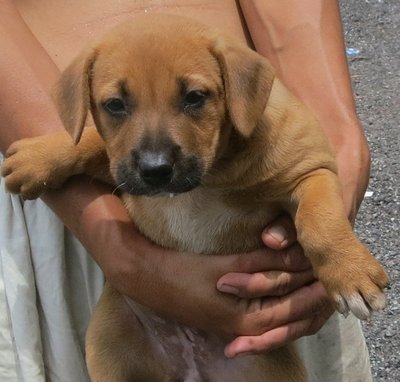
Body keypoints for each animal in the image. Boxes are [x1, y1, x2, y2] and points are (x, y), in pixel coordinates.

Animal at [0, 13, 388, 380]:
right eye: (115, 105)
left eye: (195, 98)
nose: (155, 170)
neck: (212, 173)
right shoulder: (118, 166)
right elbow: (91, 139)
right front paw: (39, 158)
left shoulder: (312, 171)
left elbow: (319, 220)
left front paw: (349, 273)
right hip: (108, 341)